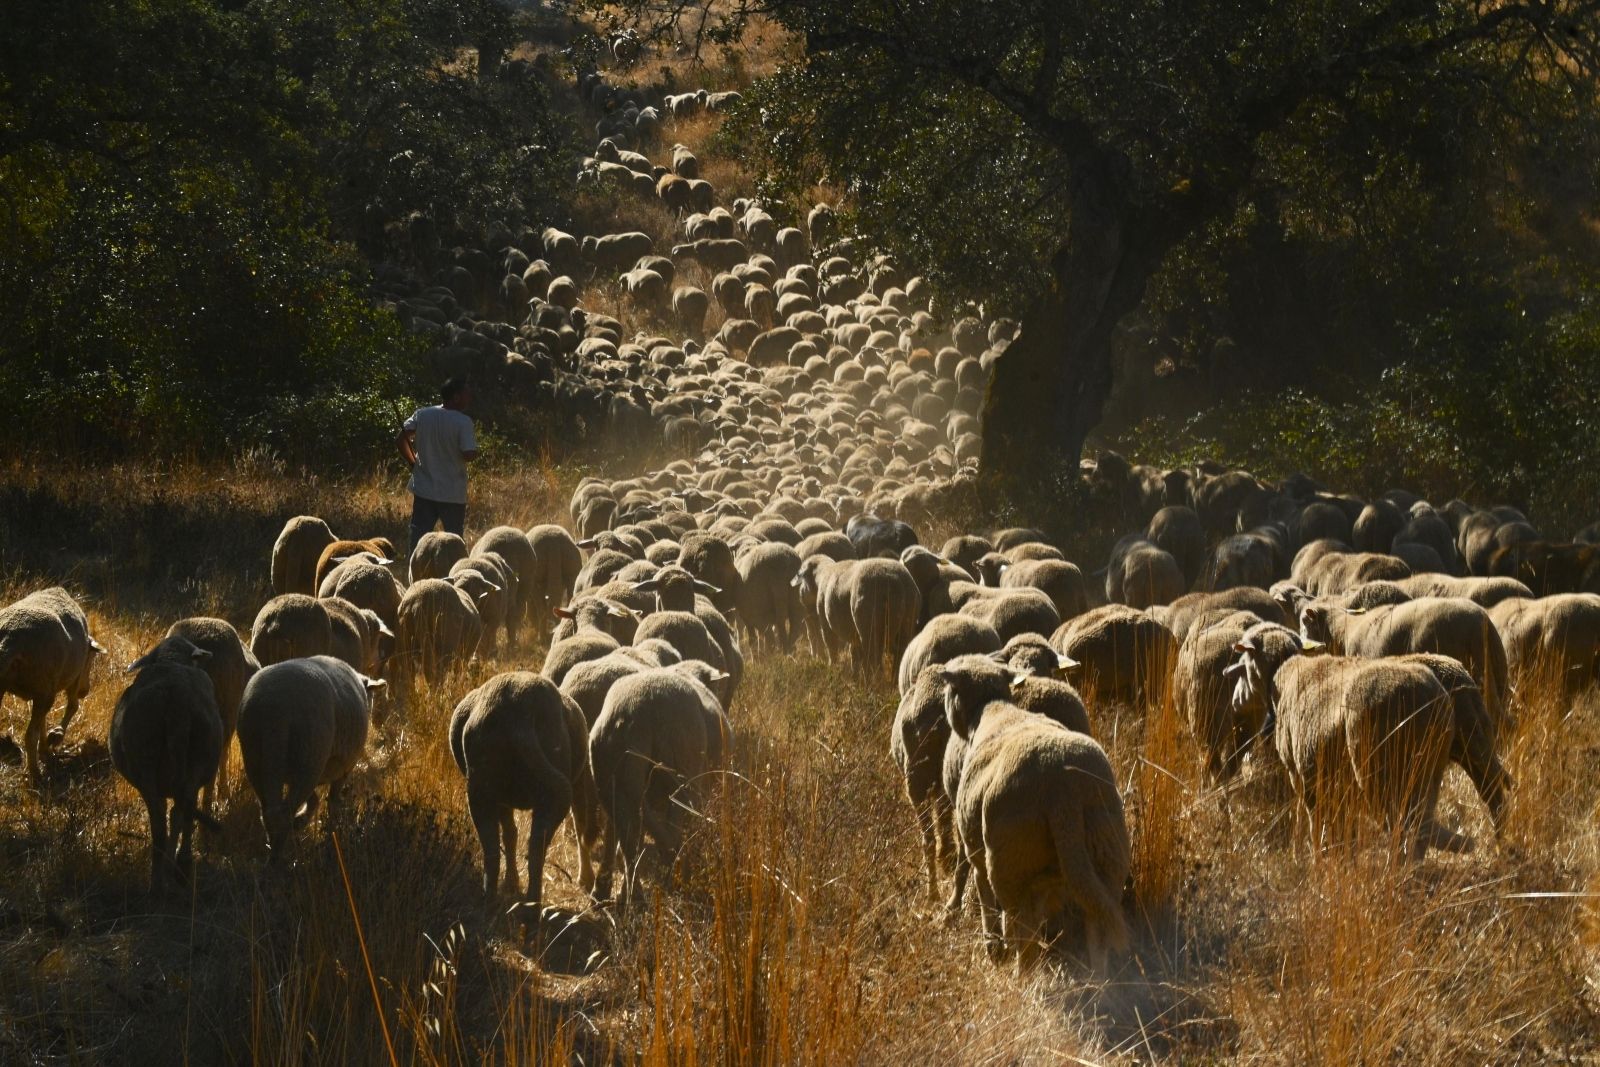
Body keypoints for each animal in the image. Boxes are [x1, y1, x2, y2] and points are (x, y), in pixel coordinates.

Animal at [0, 587, 103, 787]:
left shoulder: (44, 691)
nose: (85, 691)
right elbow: (72, 707)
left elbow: (43, 720)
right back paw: (36, 775)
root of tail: (10, 641)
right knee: (29, 735)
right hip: (44, 686)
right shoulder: (69, 681)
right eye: (91, 660)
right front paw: (56, 736)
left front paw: (46, 745)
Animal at [110, 635, 224, 891]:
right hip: (194, 760)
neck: (171, 659)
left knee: (163, 820)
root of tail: (176, 703)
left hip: (145, 761)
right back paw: (177, 867)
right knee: (180, 811)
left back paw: (160, 879)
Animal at [237, 655, 385, 859]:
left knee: (270, 812)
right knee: (284, 813)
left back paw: (275, 847)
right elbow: (333, 802)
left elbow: (314, 799)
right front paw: (330, 829)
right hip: (310, 757)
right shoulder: (344, 768)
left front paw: (302, 820)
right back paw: (278, 856)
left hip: (257, 757)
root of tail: (276, 711)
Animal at [450, 672, 598, 907]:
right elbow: (580, 825)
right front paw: (586, 879)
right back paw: (532, 907)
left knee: (492, 850)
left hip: (481, 788)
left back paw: (490, 901)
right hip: (548, 792)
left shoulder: (501, 798)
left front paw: (511, 883)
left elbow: (510, 835)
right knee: (537, 848)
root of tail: (517, 716)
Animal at [589, 662, 731, 903]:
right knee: (673, 830)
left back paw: (624, 895)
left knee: (628, 834)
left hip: (612, 777)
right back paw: (677, 879)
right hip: (681, 774)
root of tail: (636, 713)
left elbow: (614, 835)